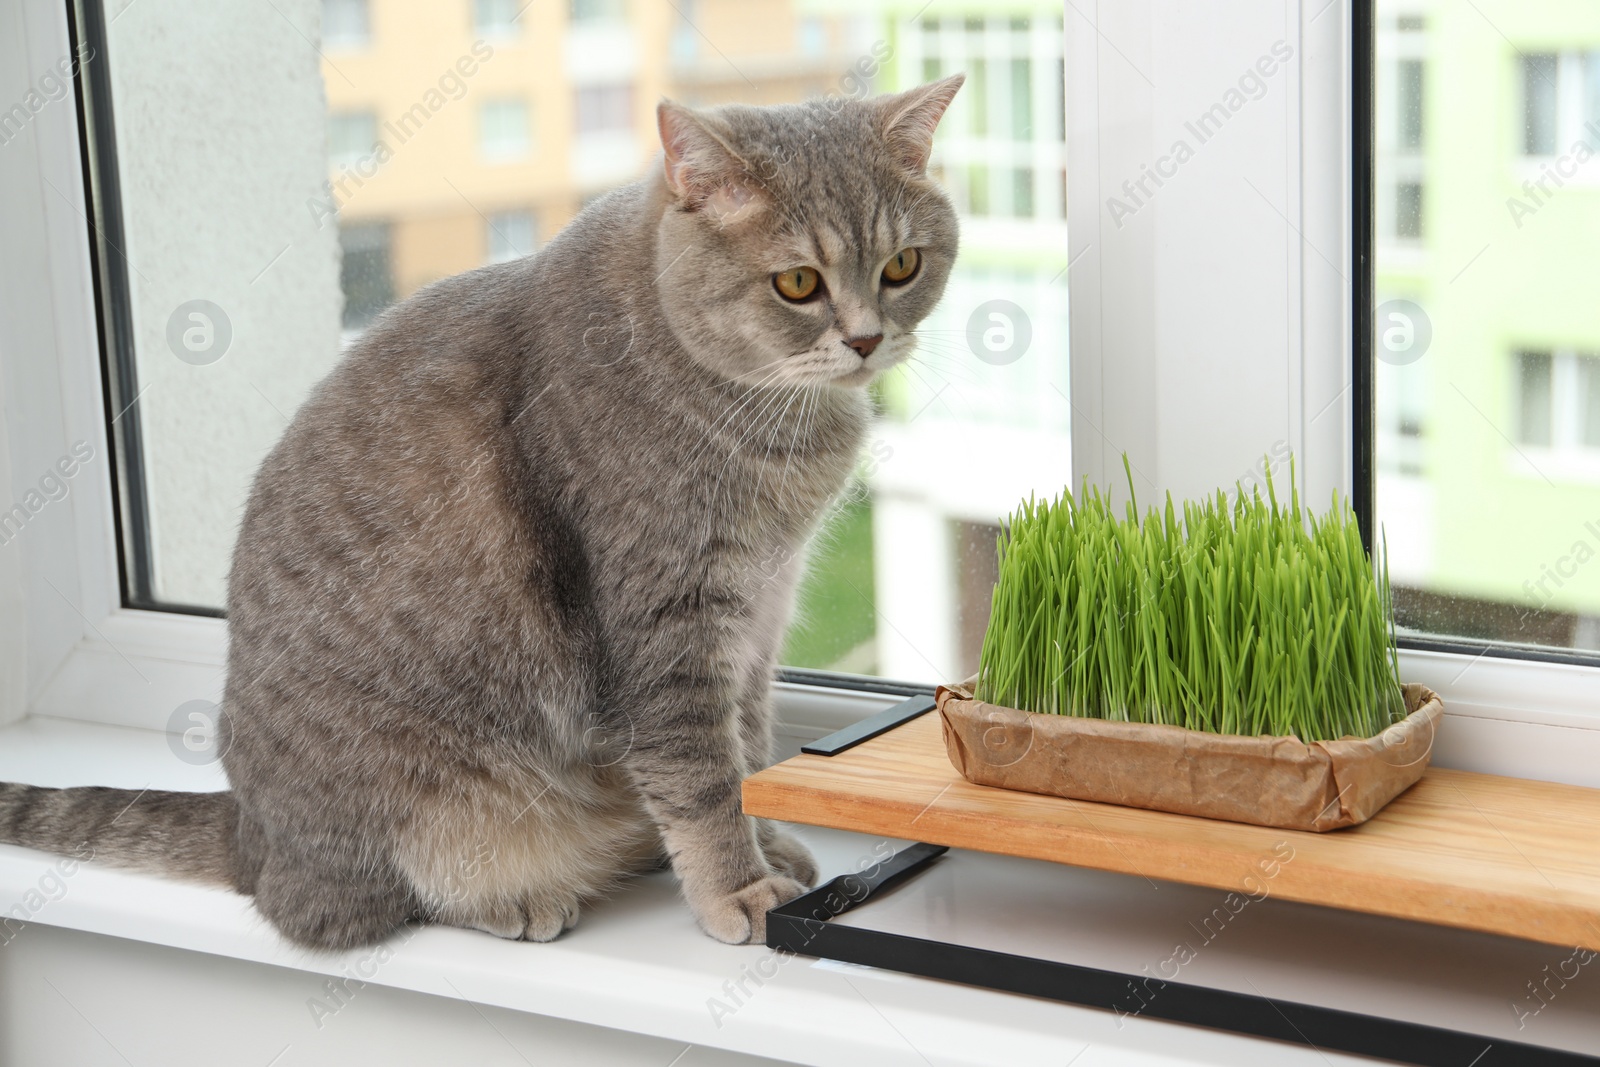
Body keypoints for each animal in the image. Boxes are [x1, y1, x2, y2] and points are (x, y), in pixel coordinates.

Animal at [0, 75, 960, 947]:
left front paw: (767, 842)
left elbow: (752, 747)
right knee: (355, 905)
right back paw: (518, 896)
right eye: (796, 282)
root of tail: (251, 837)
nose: (867, 338)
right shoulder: (668, 623)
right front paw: (738, 886)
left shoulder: (760, 610)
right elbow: (702, 774)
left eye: (901, 266)